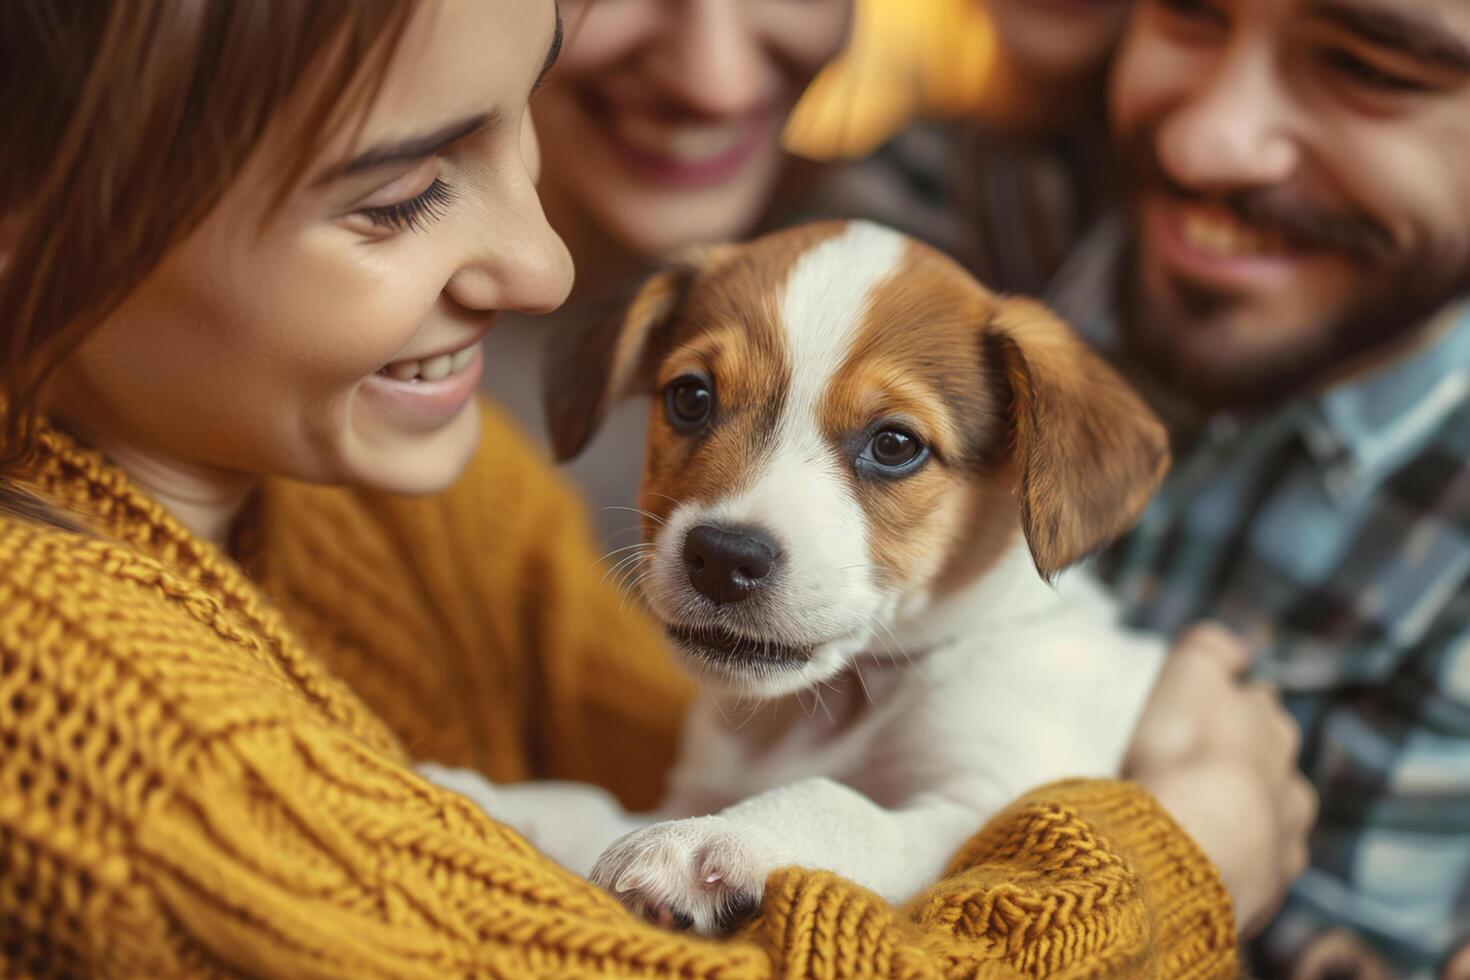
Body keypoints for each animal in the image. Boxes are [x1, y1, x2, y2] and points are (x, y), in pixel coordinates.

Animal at [429, 220, 1170, 934]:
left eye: (895, 445)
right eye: (690, 398)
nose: (722, 557)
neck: (831, 707)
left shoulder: (988, 804)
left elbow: (839, 802)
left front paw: (709, 842)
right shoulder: (694, 786)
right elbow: (590, 807)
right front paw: (487, 800)